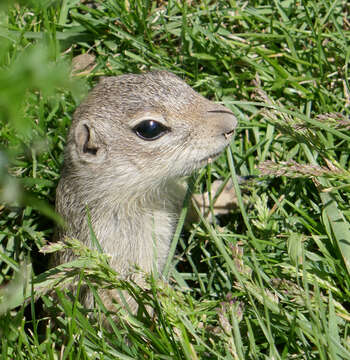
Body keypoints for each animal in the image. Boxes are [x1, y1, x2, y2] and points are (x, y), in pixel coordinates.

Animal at [54, 70, 237, 310]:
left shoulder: (174, 195)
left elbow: (193, 208)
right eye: (150, 128)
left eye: (172, 77)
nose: (232, 122)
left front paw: (224, 195)